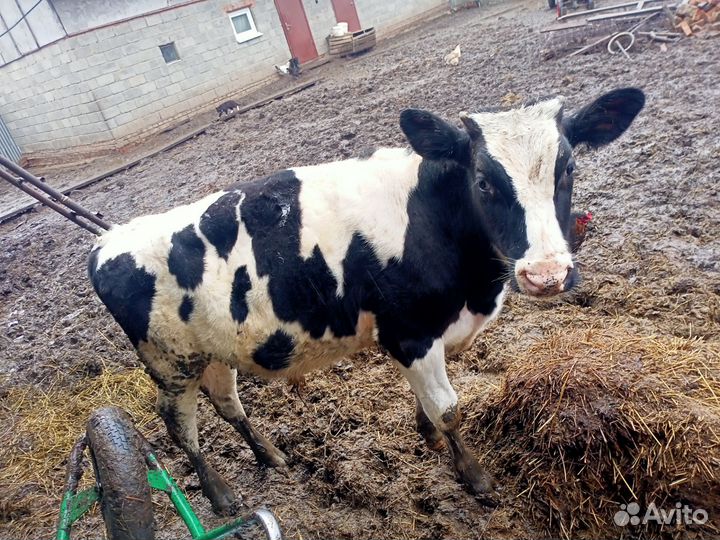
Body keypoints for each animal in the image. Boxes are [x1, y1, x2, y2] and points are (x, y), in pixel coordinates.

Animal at [88, 88, 645, 515]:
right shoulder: (408, 333)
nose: (546, 274)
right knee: (178, 424)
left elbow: (432, 402)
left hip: (212, 350)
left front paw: (427, 435)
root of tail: (108, 240)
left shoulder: (438, 334)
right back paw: (220, 493)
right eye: (483, 181)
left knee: (227, 403)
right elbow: (449, 410)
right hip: (169, 361)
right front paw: (474, 476)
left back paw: (269, 456)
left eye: (568, 169)